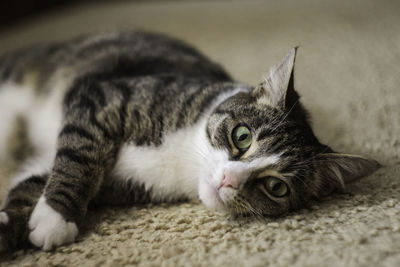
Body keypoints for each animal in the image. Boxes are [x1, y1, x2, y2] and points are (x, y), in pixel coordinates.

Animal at [0, 31, 380, 253]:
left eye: (276, 187)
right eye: (242, 136)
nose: (228, 180)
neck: (183, 157)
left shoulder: (103, 178)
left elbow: (40, 178)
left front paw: (29, 224)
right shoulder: (103, 96)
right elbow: (81, 155)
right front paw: (56, 220)